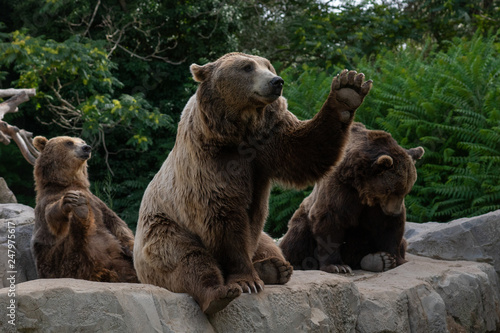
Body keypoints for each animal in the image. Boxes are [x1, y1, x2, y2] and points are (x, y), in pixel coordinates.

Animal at [31, 136, 139, 282]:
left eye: (82, 141)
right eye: (69, 142)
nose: (87, 148)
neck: (68, 183)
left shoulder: (97, 203)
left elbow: (118, 225)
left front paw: (132, 249)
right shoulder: (46, 202)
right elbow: (52, 221)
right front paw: (70, 200)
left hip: (120, 261)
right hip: (57, 262)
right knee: (76, 246)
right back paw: (82, 212)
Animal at [133, 52, 372, 314]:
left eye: (268, 66)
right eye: (247, 67)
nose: (276, 81)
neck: (239, 132)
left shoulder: (271, 137)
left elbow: (307, 149)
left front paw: (348, 88)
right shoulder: (210, 160)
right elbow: (223, 217)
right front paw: (247, 281)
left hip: (260, 238)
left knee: (270, 246)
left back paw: (275, 268)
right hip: (163, 230)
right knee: (188, 259)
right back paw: (220, 293)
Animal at [280, 123, 424, 274]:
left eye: (405, 191)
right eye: (390, 191)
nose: (394, 211)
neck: (362, 188)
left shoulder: (378, 207)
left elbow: (390, 227)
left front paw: (392, 258)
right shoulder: (341, 188)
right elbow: (330, 219)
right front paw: (338, 266)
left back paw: (377, 261)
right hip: (301, 219)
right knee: (297, 237)